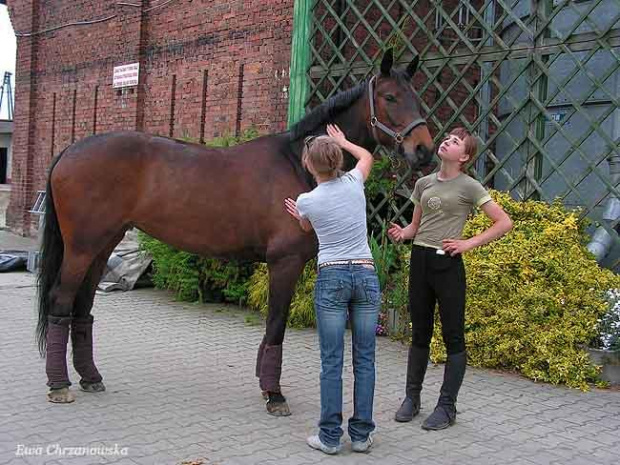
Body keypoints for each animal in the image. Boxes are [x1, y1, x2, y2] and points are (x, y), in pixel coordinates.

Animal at [36, 49, 434, 416]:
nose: (424, 151)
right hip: (82, 248)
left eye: (417, 97)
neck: (297, 164)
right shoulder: (284, 262)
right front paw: (274, 395)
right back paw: (59, 385)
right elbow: (276, 325)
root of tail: (70, 150)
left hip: (102, 245)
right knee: (61, 301)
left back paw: (90, 377)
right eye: (390, 97)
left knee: (82, 307)